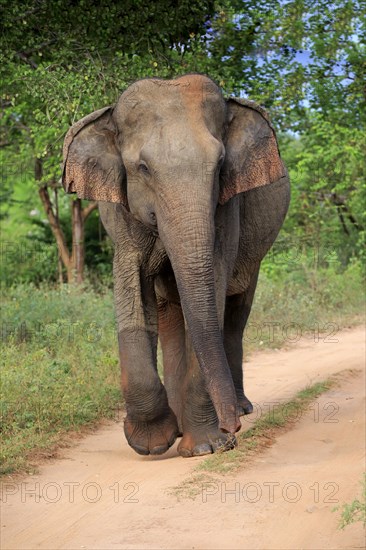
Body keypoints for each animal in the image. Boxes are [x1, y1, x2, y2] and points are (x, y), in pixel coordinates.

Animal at [63, 74, 292, 462]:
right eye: (142, 168)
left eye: (220, 165)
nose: (233, 431)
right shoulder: (122, 213)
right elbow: (132, 288)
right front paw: (153, 442)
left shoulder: (226, 206)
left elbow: (213, 284)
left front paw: (205, 447)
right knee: (171, 317)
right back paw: (182, 425)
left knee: (234, 312)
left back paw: (234, 410)